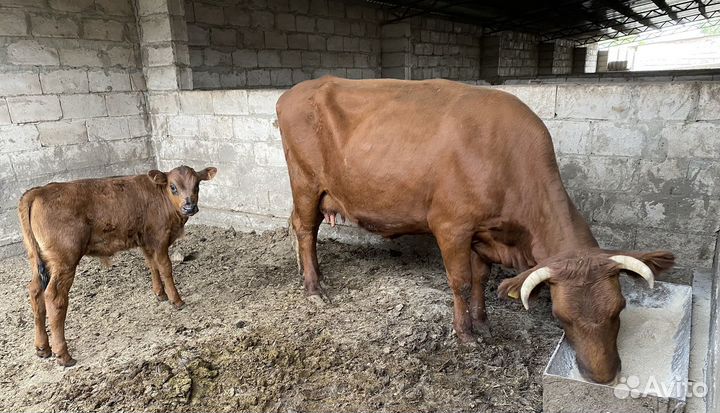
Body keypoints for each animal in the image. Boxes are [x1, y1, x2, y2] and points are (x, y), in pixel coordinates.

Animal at [18, 165, 217, 366]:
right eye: (173, 187)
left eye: (197, 185)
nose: (190, 206)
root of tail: (37, 191)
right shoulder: (159, 238)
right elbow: (165, 268)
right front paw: (176, 300)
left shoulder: (145, 240)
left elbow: (152, 265)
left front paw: (160, 294)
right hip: (64, 261)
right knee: (53, 297)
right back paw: (63, 355)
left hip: (38, 261)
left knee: (35, 292)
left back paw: (42, 348)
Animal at [276, 77, 674, 384]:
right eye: (560, 316)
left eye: (620, 308)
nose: (603, 375)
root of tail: (295, 90)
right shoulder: (451, 225)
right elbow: (461, 281)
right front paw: (465, 333)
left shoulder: (485, 233)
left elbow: (482, 277)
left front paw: (483, 322)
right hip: (306, 182)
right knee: (306, 229)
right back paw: (314, 287)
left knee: (296, 225)